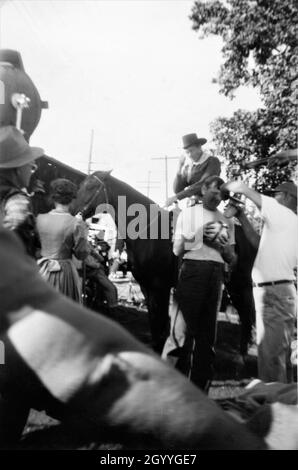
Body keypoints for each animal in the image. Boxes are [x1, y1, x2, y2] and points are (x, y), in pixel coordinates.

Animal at [72, 171, 176, 350]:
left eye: (91, 186)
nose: (71, 209)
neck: (152, 235)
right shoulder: (146, 286)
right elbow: (154, 321)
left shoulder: (160, 287)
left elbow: (161, 320)